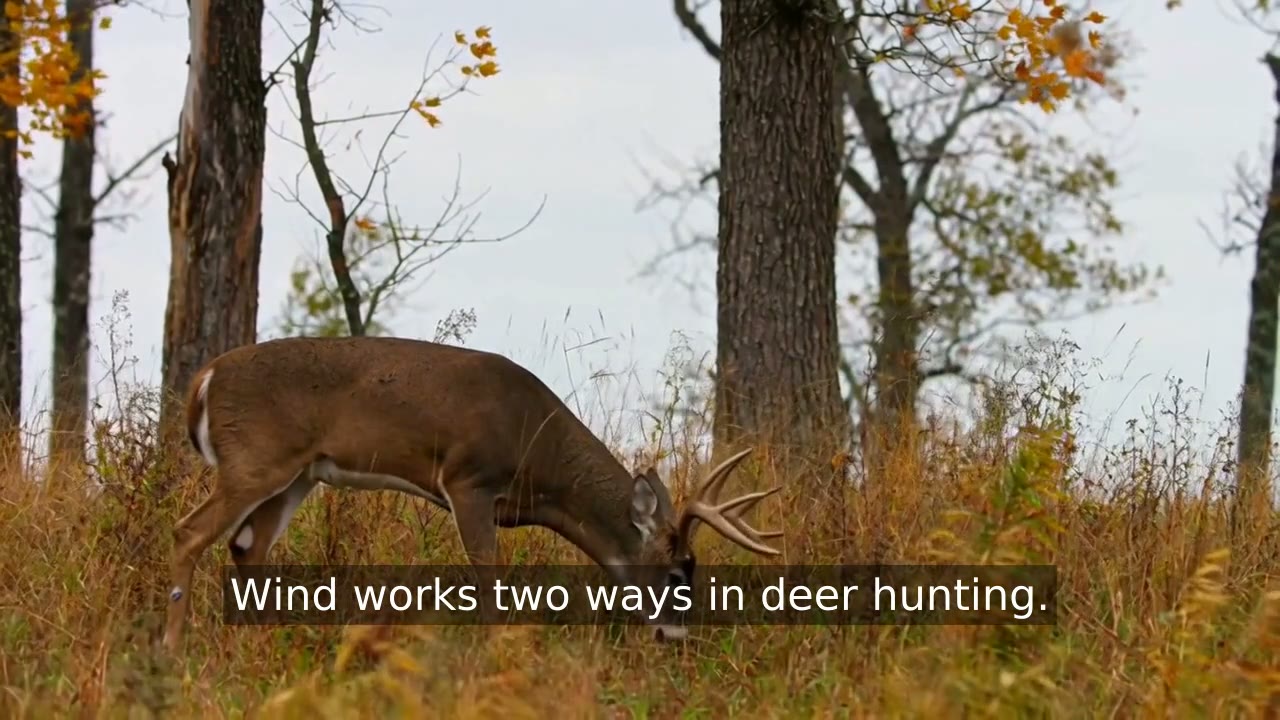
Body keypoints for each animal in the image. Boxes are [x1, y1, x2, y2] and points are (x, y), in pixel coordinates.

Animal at [162, 335, 783, 651]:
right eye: (678, 573)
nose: (677, 637)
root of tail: (204, 380)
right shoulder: (469, 480)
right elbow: (490, 580)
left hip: (299, 474)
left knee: (247, 548)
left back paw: (260, 646)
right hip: (255, 460)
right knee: (189, 532)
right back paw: (171, 647)